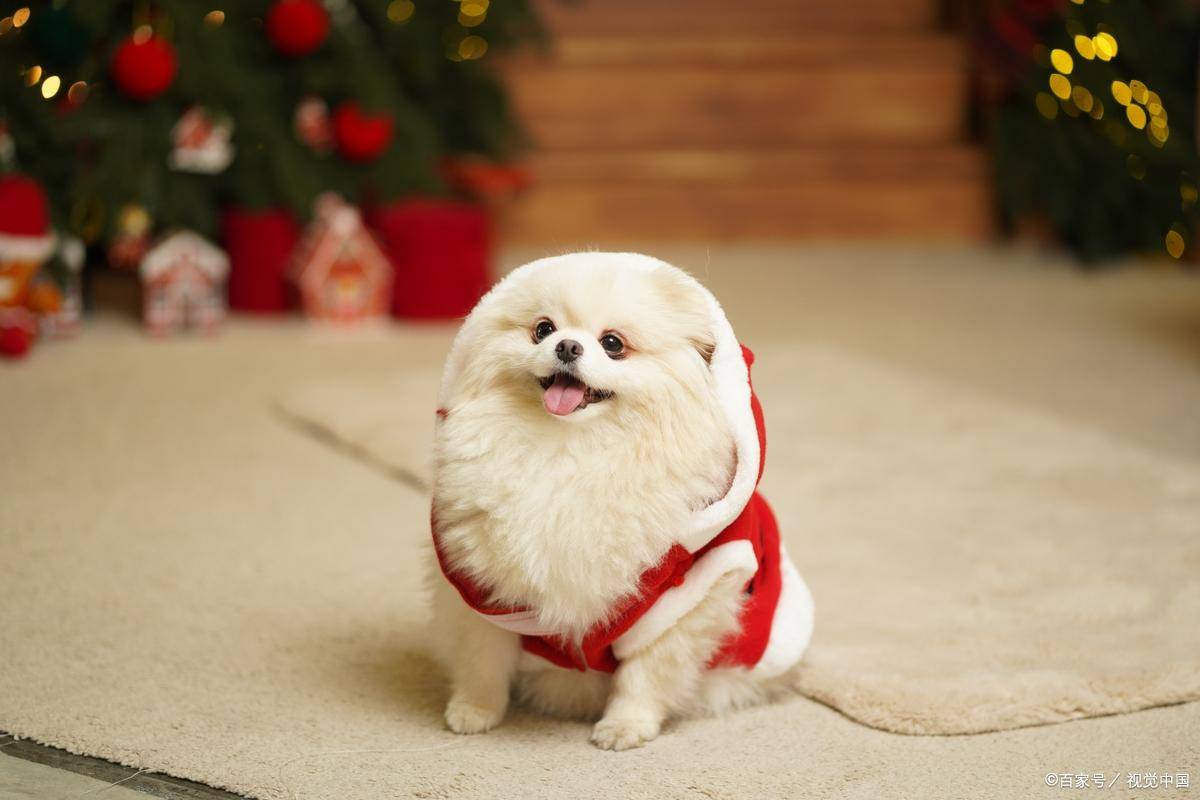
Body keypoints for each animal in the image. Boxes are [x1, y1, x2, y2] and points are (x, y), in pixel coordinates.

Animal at [429, 252, 813, 750]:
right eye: (542, 329)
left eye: (613, 344)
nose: (567, 346)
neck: (568, 451)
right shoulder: (483, 587)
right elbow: (482, 659)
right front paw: (474, 711)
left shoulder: (684, 598)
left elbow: (646, 674)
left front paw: (625, 726)